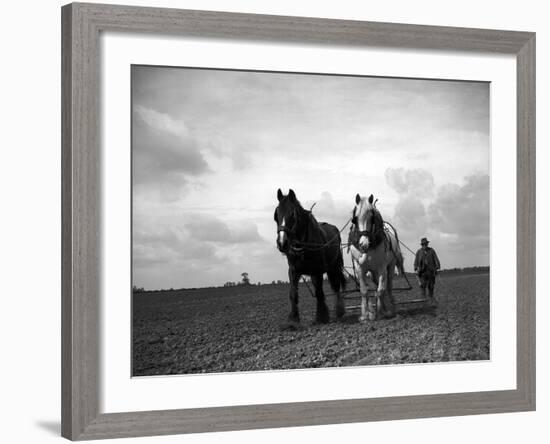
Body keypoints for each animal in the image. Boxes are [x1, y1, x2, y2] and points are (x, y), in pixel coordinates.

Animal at [274, 188, 348, 326]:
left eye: (293, 215)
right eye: (276, 215)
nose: (282, 243)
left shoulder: (316, 271)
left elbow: (319, 292)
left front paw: (322, 316)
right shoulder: (293, 270)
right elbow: (293, 293)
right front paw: (293, 319)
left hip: (334, 267)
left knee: (336, 286)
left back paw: (339, 310)